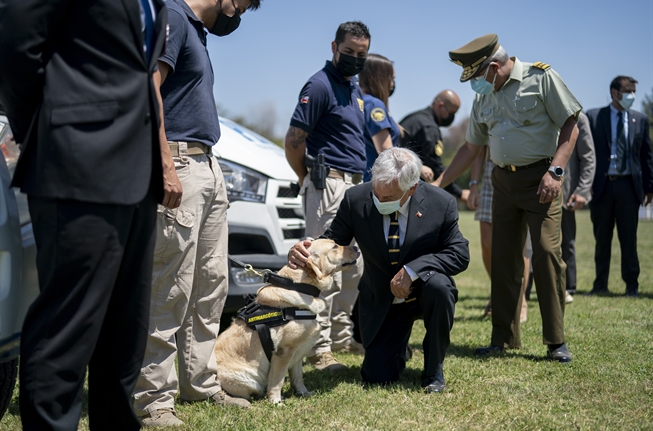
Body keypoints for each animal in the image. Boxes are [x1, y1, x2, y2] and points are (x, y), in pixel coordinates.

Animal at [214, 240, 356, 404]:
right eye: (334, 246)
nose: (356, 247)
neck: (300, 287)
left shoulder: (299, 352)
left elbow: (298, 377)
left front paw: (303, 393)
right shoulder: (284, 352)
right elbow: (277, 380)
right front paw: (275, 401)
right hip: (248, 380)